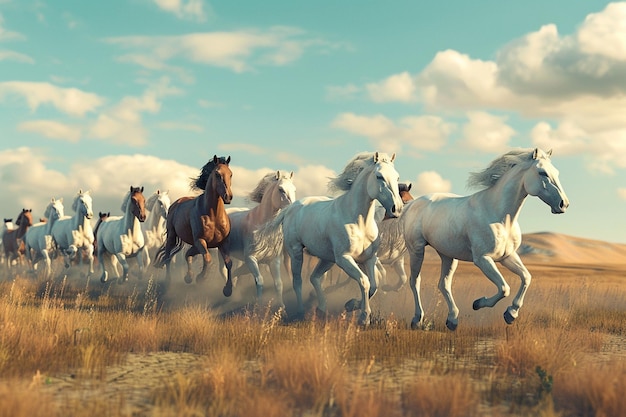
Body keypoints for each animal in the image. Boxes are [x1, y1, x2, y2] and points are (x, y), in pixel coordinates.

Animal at [154, 154, 234, 296]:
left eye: (231, 174)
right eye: (217, 174)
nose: (228, 197)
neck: (213, 216)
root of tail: (177, 202)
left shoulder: (222, 243)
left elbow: (229, 263)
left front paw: (228, 289)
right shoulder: (200, 241)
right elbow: (207, 259)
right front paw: (201, 278)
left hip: (195, 245)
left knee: (187, 254)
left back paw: (188, 277)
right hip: (172, 237)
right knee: (168, 257)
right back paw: (169, 282)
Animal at [218, 169, 296, 306]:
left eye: (294, 189)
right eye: (281, 189)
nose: (293, 209)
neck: (261, 227)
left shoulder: (273, 260)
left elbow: (278, 284)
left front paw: (281, 307)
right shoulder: (251, 258)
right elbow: (259, 281)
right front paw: (259, 307)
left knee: (235, 272)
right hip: (221, 253)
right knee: (224, 271)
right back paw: (229, 292)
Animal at [251, 151, 402, 324]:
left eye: (397, 177)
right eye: (379, 176)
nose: (397, 209)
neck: (358, 222)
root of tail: (290, 208)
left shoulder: (368, 259)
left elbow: (374, 285)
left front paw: (351, 305)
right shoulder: (344, 259)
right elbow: (364, 281)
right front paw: (363, 317)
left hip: (327, 259)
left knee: (315, 278)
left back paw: (321, 309)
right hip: (296, 251)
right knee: (298, 281)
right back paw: (301, 312)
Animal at [400, 148, 572, 330]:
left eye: (556, 172)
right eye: (542, 172)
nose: (563, 204)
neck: (499, 216)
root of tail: (412, 204)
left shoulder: (507, 256)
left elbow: (526, 277)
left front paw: (511, 313)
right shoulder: (483, 259)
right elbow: (504, 288)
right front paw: (478, 303)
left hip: (448, 255)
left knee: (443, 284)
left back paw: (452, 320)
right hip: (417, 250)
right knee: (415, 281)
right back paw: (417, 319)